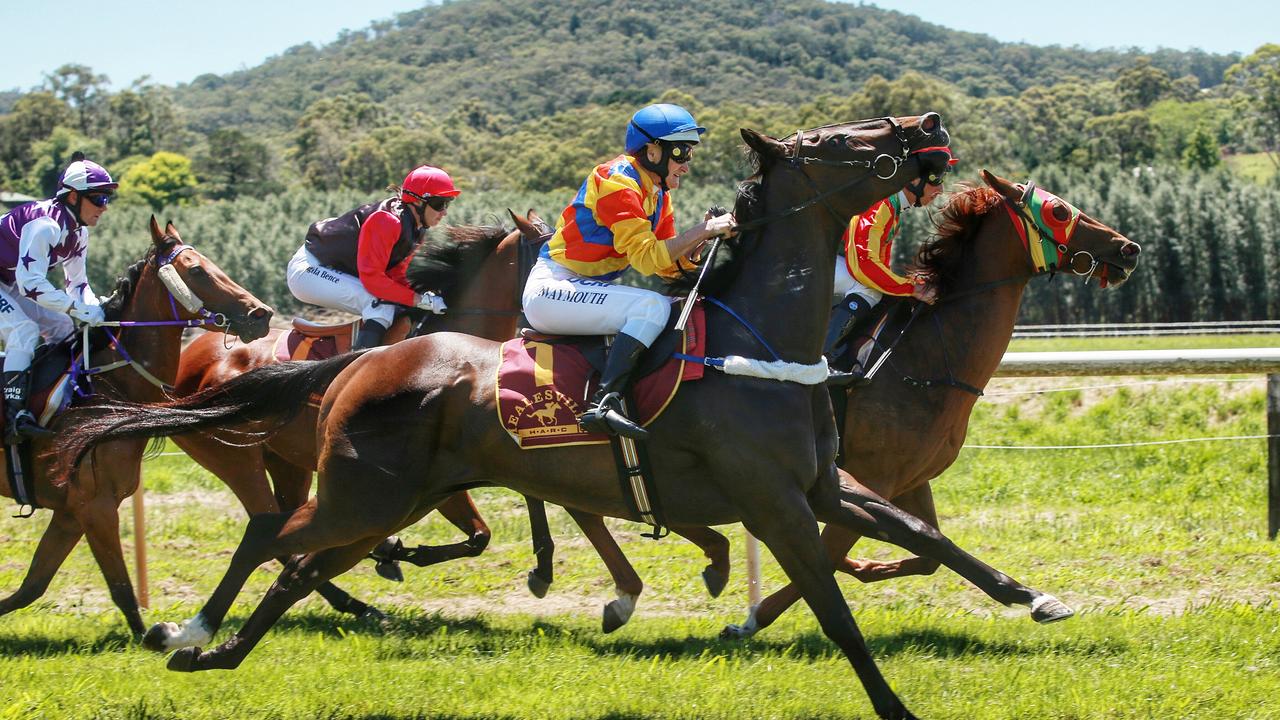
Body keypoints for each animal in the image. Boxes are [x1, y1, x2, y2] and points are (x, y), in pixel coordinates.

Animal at [1, 217, 272, 632]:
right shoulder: (96, 507)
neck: (109, 389)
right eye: (196, 269)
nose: (262, 314)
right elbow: (122, 589)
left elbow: (31, 586)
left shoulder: (71, 512)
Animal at [64, 112, 957, 712]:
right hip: (362, 494)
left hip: (391, 497)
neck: (757, 342)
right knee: (271, 541)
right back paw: (188, 633)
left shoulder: (818, 490)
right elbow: (837, 613)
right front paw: (893, 703)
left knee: (302, 565)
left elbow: (923, 541)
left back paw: (220, 652)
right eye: (838, 139)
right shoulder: (772, 504)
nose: (928, 127)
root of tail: (366, 359)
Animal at [727, 170, 1146, 635]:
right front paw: (753, 617)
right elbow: (829, 553)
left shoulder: (911, 478)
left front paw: (863, 567)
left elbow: (925, 553)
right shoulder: (873, 475)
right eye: (1058, 210)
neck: (925, 359)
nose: (1128, 249)